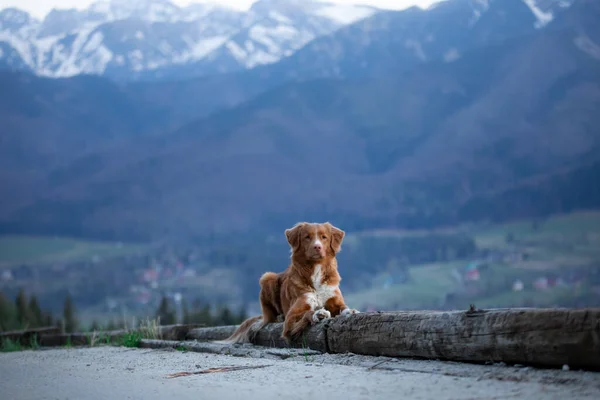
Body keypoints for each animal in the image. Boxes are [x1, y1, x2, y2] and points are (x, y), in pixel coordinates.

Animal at [223, 222, 358, 344]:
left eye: (324, 237)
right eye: (307, 237)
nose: (317, 247)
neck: (316, 270)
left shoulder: (334, 299)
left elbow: (342, 307)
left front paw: (350, 311)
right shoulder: (291, 317)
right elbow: (306, 313)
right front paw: (319, 313)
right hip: (267, 277)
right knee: (270, 317)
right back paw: (279, 317)